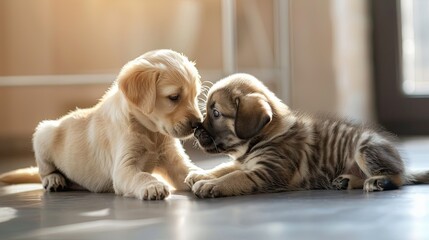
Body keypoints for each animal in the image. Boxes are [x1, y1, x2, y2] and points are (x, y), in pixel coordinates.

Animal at [31, 49, 202, 201]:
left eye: (195, 95)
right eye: (174, 97)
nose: (198, 124)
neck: (150, 131)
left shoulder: (173, 159)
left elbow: (189, 168)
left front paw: (202, 175)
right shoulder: (123, 168)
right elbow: (141, 175)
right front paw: (153, 185)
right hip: (44, 133)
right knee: (44, 170)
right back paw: (54, 179)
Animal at [186, 74, 428, 198]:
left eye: (216, 113)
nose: (196, 129)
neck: (265, 135)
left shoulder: (265, 172)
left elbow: (233, 177)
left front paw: (211, 185)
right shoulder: (245, 164)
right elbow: (222, 168)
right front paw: (201, 174)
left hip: (365, 148)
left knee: (398, 178)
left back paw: (378, 181)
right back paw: (347, 180)